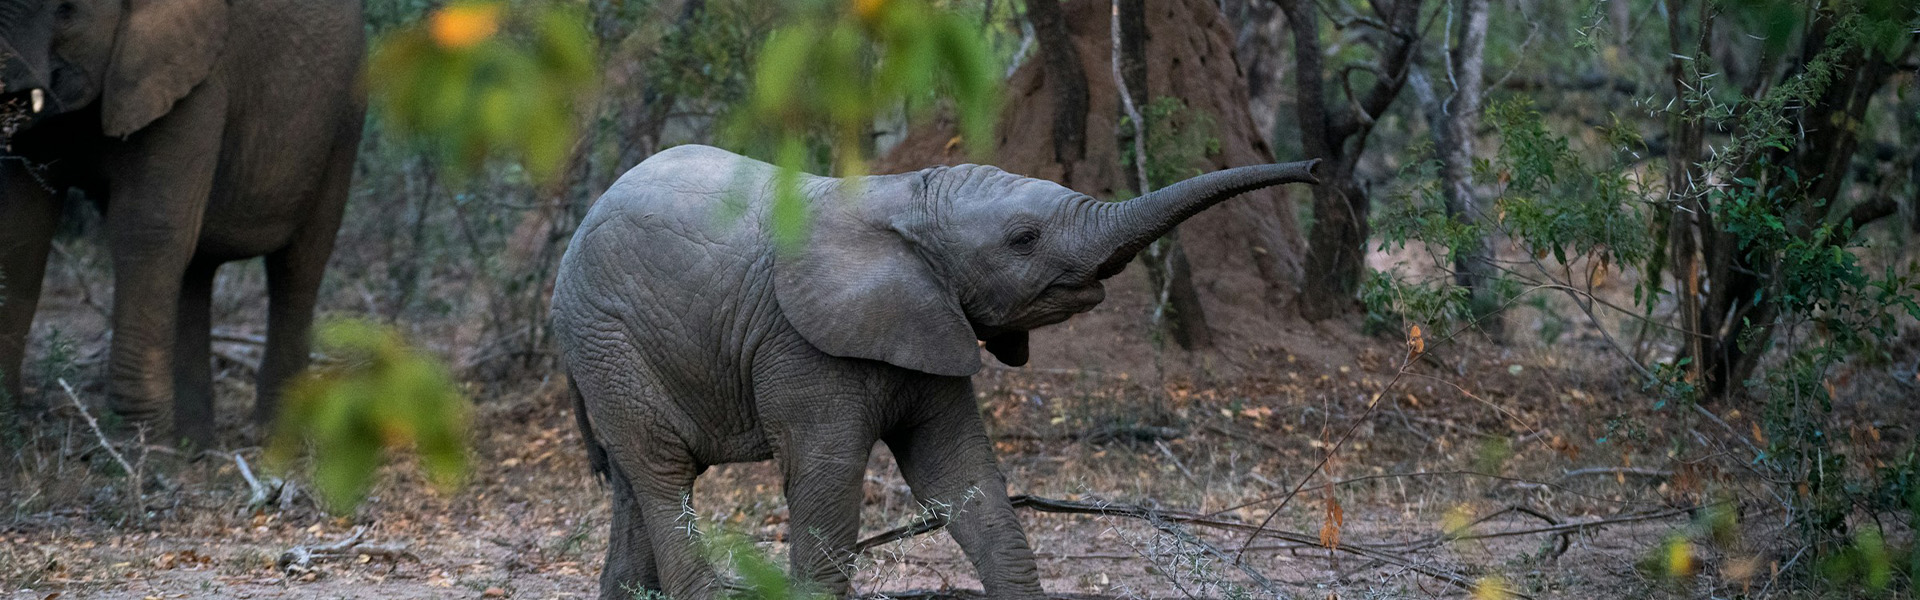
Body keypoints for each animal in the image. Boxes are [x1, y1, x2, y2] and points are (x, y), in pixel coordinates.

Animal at [0, 0, 366, 446]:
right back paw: (194, 445)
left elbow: (145, 228)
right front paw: (10, 422)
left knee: (297, 267)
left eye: (66, 12)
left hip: (344, 119)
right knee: (195, 269)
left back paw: (274, 441)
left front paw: (135, 447)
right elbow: (21, 227)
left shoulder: (194, 81)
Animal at [552, 144, 1318, 599]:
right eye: (1023, 239)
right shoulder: (800, 345)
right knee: (662, 473)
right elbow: (828, 481)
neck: (903, 199)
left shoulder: (930, 321)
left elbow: (960, 475)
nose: (1313, 169)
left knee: (633, 483)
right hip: (607, 338)